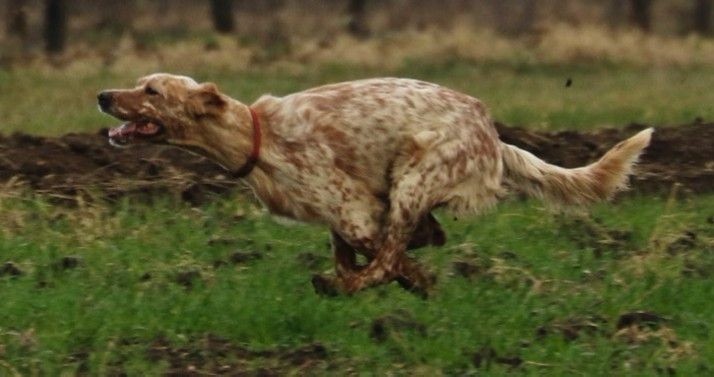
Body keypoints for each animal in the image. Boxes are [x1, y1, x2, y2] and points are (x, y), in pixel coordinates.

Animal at [98, 73, 652, 296]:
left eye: (151, 91)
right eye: (138, 83)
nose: (103, 95)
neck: (256, 135)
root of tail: (491, 131)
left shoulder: (357, 214)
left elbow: (386, 260)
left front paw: (408, 282)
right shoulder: (341, 221)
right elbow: (361, 255)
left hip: (415, 175)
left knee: (392, 256)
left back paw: (345, 288)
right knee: (422, 238)